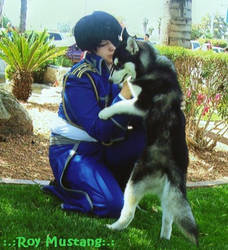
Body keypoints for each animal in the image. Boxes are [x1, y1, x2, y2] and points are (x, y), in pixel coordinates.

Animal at [99, 37, 199, 244]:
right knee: (168, 218)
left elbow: (121, 102)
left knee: (128, 213)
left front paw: (105, 112)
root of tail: (170, 169)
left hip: (134, 183)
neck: (150, 67)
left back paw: (113, 227)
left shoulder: (141, 104)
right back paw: (164, 239)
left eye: (118, 64)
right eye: (113, 63)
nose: (110, 80)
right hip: (169, 196)